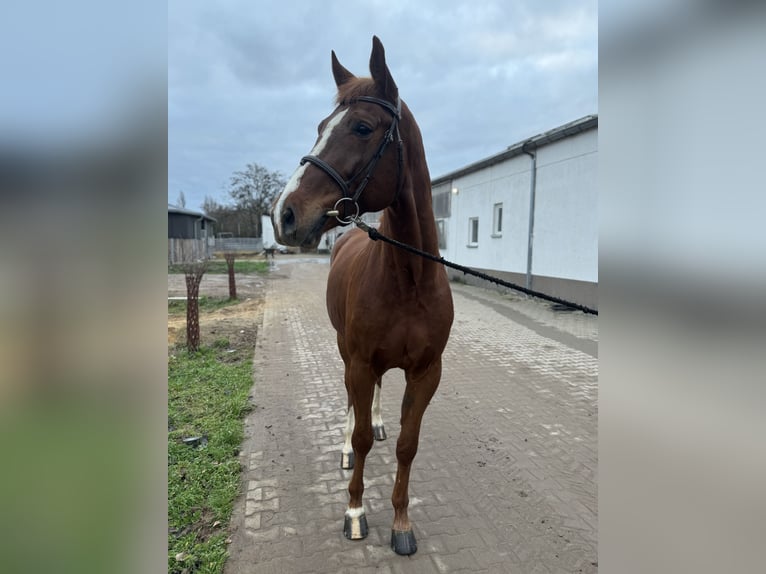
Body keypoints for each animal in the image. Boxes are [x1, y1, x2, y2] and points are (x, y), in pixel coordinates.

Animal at [271, 36, 454, 556]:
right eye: (320, 127)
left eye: (362, 127)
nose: (284, 214)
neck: (409, 280)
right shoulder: (357, 360)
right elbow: (360, 440)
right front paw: (354, 511)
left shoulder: (426, 372)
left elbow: (407, 445)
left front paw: (401, 522)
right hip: (343, 350)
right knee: (352, 405)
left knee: (373, 400)